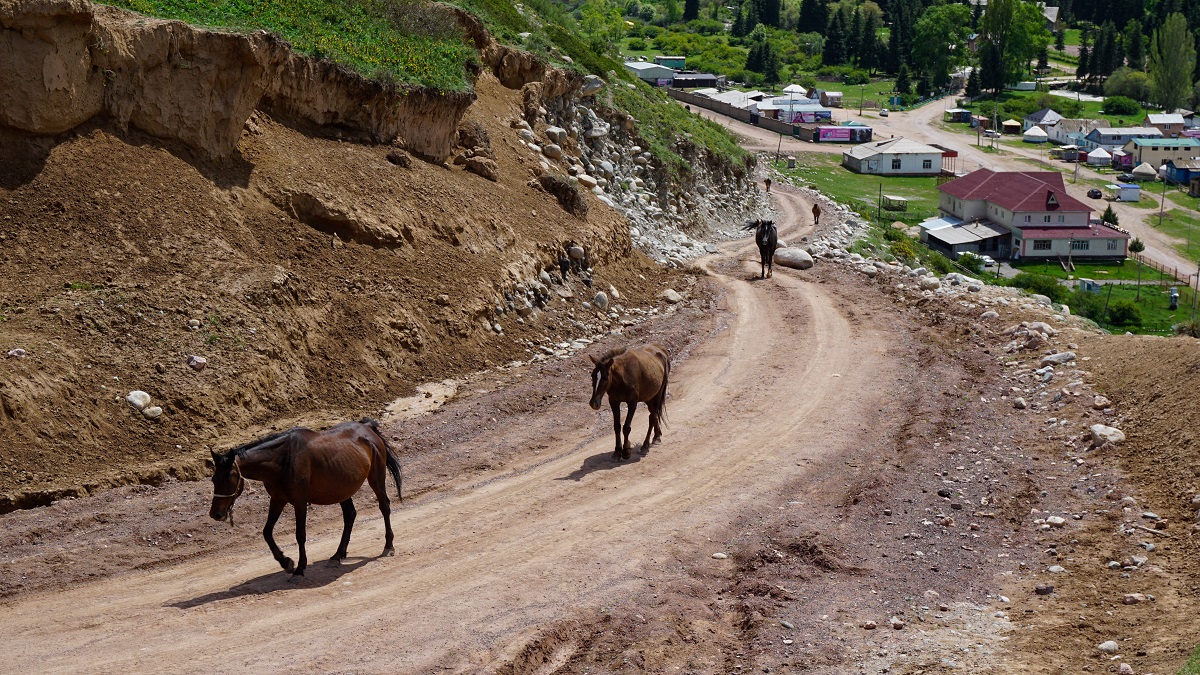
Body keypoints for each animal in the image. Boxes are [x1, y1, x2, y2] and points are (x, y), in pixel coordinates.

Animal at [209, 417, 402, 581]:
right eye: (213, 479)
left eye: (228, 478)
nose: (216, 514)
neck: (284, 459)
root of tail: (367, 427)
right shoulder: (277, 499)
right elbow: (267, 532)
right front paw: (286, 562)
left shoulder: (300, 502)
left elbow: (300, 535)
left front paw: (300, 568)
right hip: (341, 489)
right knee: (350, 515)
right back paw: (337, 555)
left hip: (376, 478)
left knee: (384, 506)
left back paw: (388, 545)